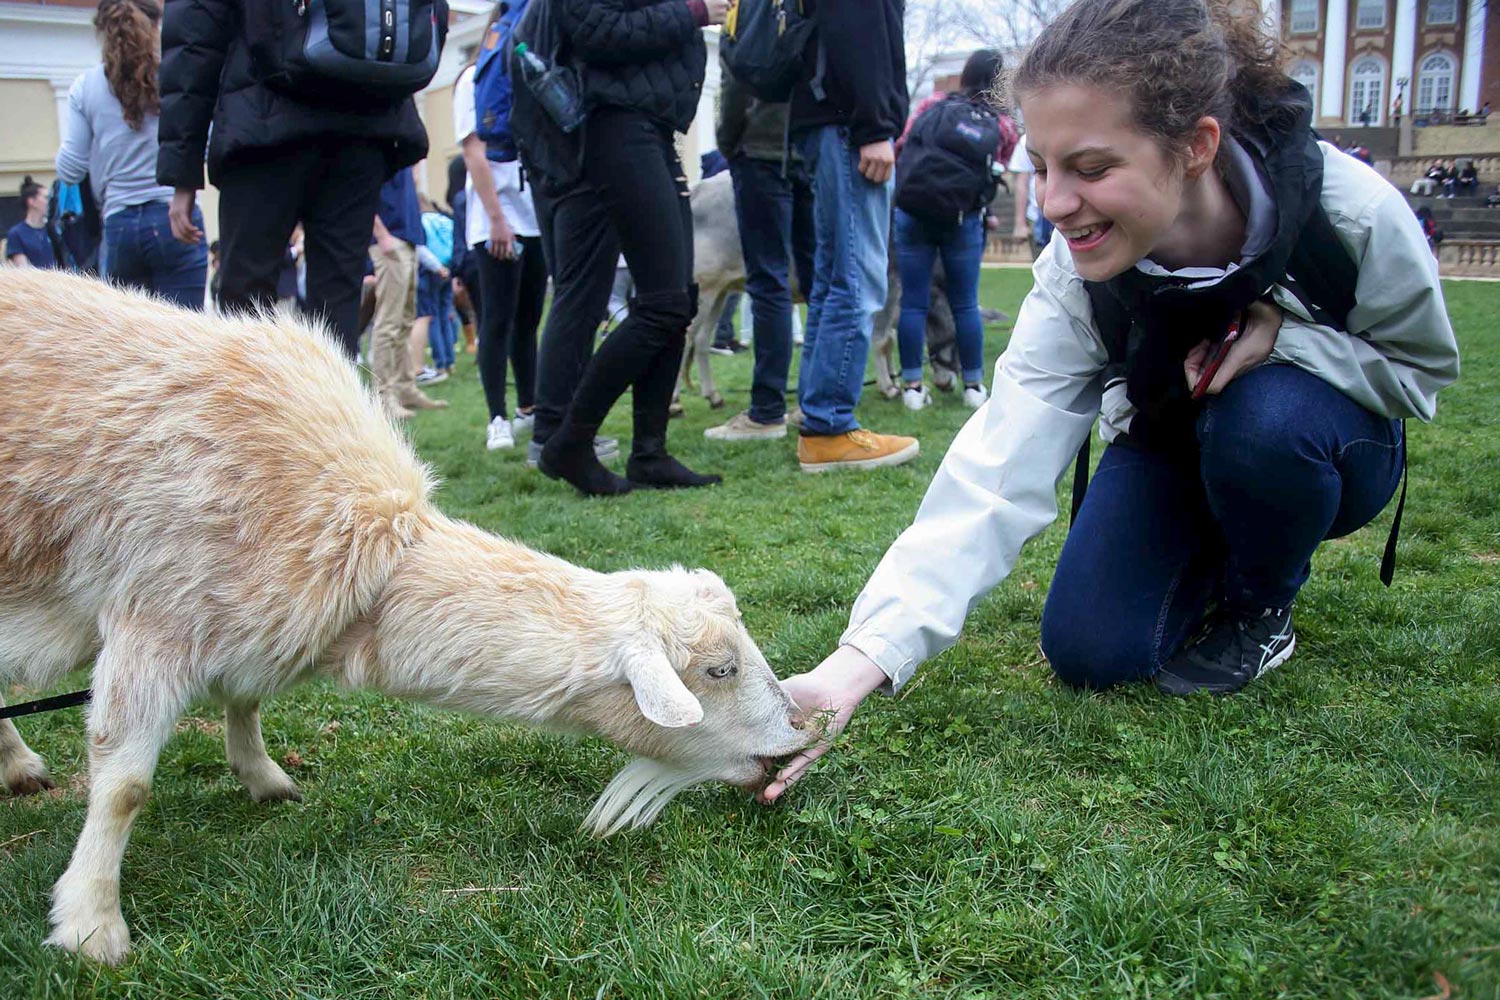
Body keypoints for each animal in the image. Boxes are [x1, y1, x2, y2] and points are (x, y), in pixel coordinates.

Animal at [0, 269, 810, 965]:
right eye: (720, 669)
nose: (801, 732)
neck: (372, 561)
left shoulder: (246, 616)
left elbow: (244, 695)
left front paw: (261, 775)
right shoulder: (159, 614)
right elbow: (124, 787)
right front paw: (91, 925)